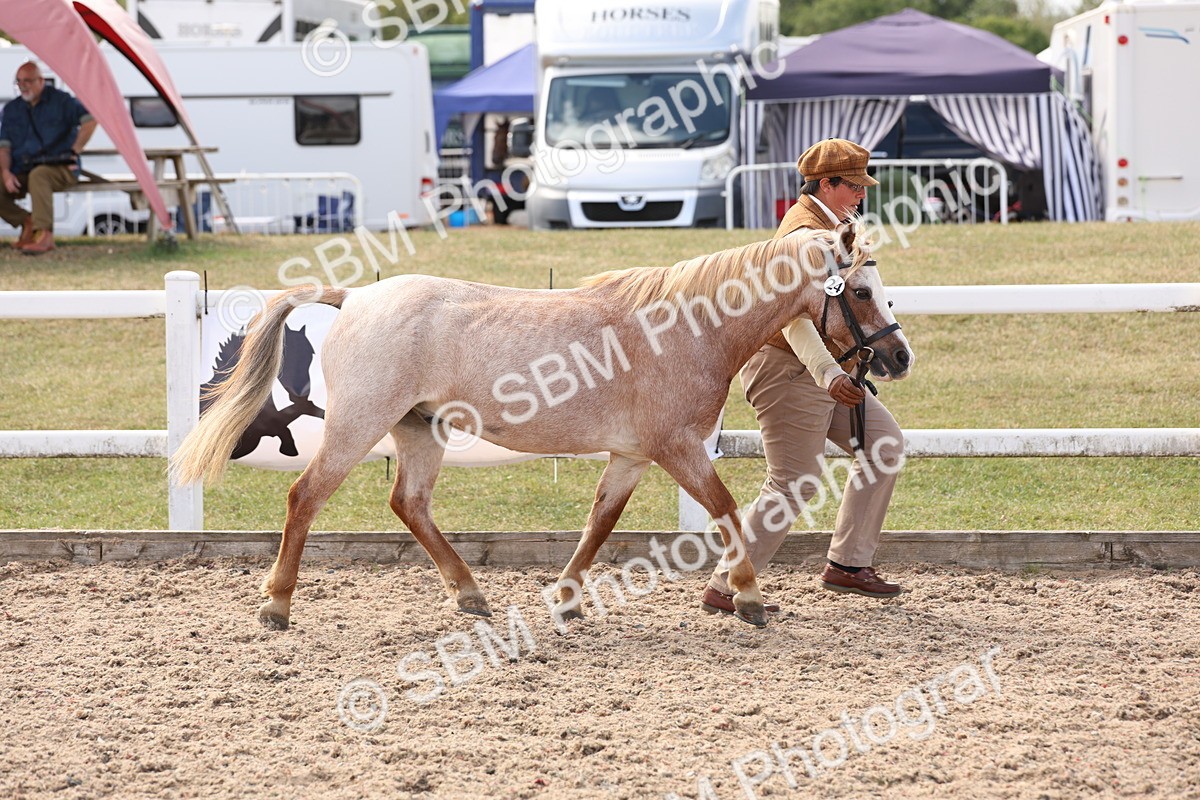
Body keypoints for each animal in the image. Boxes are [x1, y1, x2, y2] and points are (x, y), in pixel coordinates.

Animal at [172, 224, 913, 630]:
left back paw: (470, 593)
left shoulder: (632, 456)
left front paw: (565, 600)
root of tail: (355, 297)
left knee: (409, 504)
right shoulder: (677, 450)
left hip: (419, 430)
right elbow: (728, 509)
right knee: (305, 497)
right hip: (360, 425)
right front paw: (751, 598)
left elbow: (598, 524)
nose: (899, 357)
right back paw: (276, 606)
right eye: (862, 290)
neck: (687, 328)